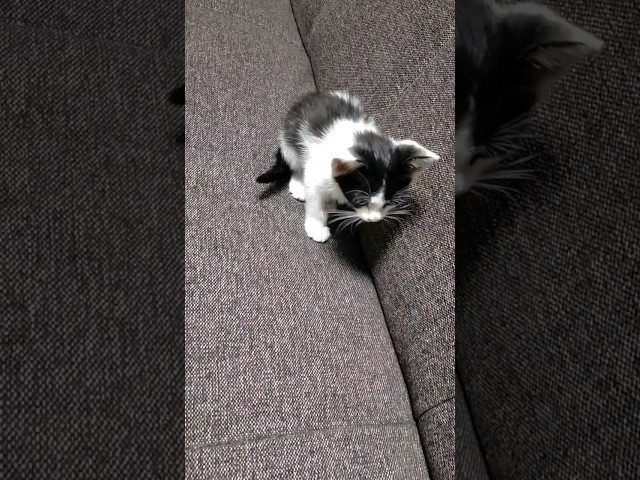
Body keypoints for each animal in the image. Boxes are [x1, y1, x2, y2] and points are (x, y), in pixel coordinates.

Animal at [256, 91, 440, 243]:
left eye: (389, 203)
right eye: (360, 201)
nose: (374, 219)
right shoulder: (317, 172)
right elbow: (315, 201)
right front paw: (317, 226)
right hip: (289, 139)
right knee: (295, 162)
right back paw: (299, 184)